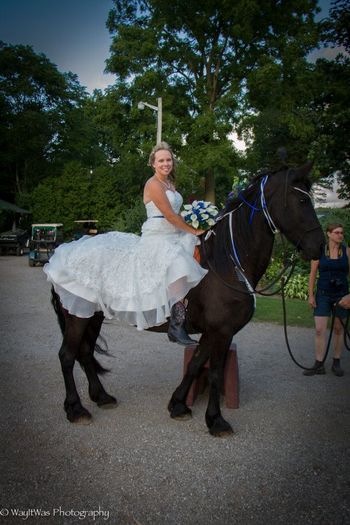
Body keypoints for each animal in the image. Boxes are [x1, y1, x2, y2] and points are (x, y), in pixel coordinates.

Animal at [50, 162, 324, 436]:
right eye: (301, 200)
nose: (319, 247)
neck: (227, 262)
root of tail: (64, 250)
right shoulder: (222, 331)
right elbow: (215, 373)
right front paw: (216, 420)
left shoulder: (214, 332)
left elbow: (196, 364)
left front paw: (178, 405)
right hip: (77, 316)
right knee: (67, 355)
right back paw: (75, 409)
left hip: (90, 316)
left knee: (85, 352)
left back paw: (101, 397)